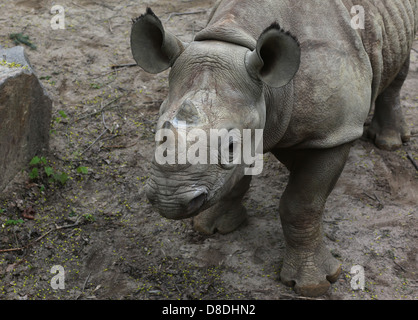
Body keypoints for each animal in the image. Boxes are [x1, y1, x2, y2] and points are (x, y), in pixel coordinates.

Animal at [129, 0, 416, 296]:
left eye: (230, 146)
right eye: (157, 131)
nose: (169, 200)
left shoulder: (333, 134)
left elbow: (301, 204)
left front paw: (314, 284)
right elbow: (237, 180)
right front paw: (213, 227)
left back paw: (389, 142)